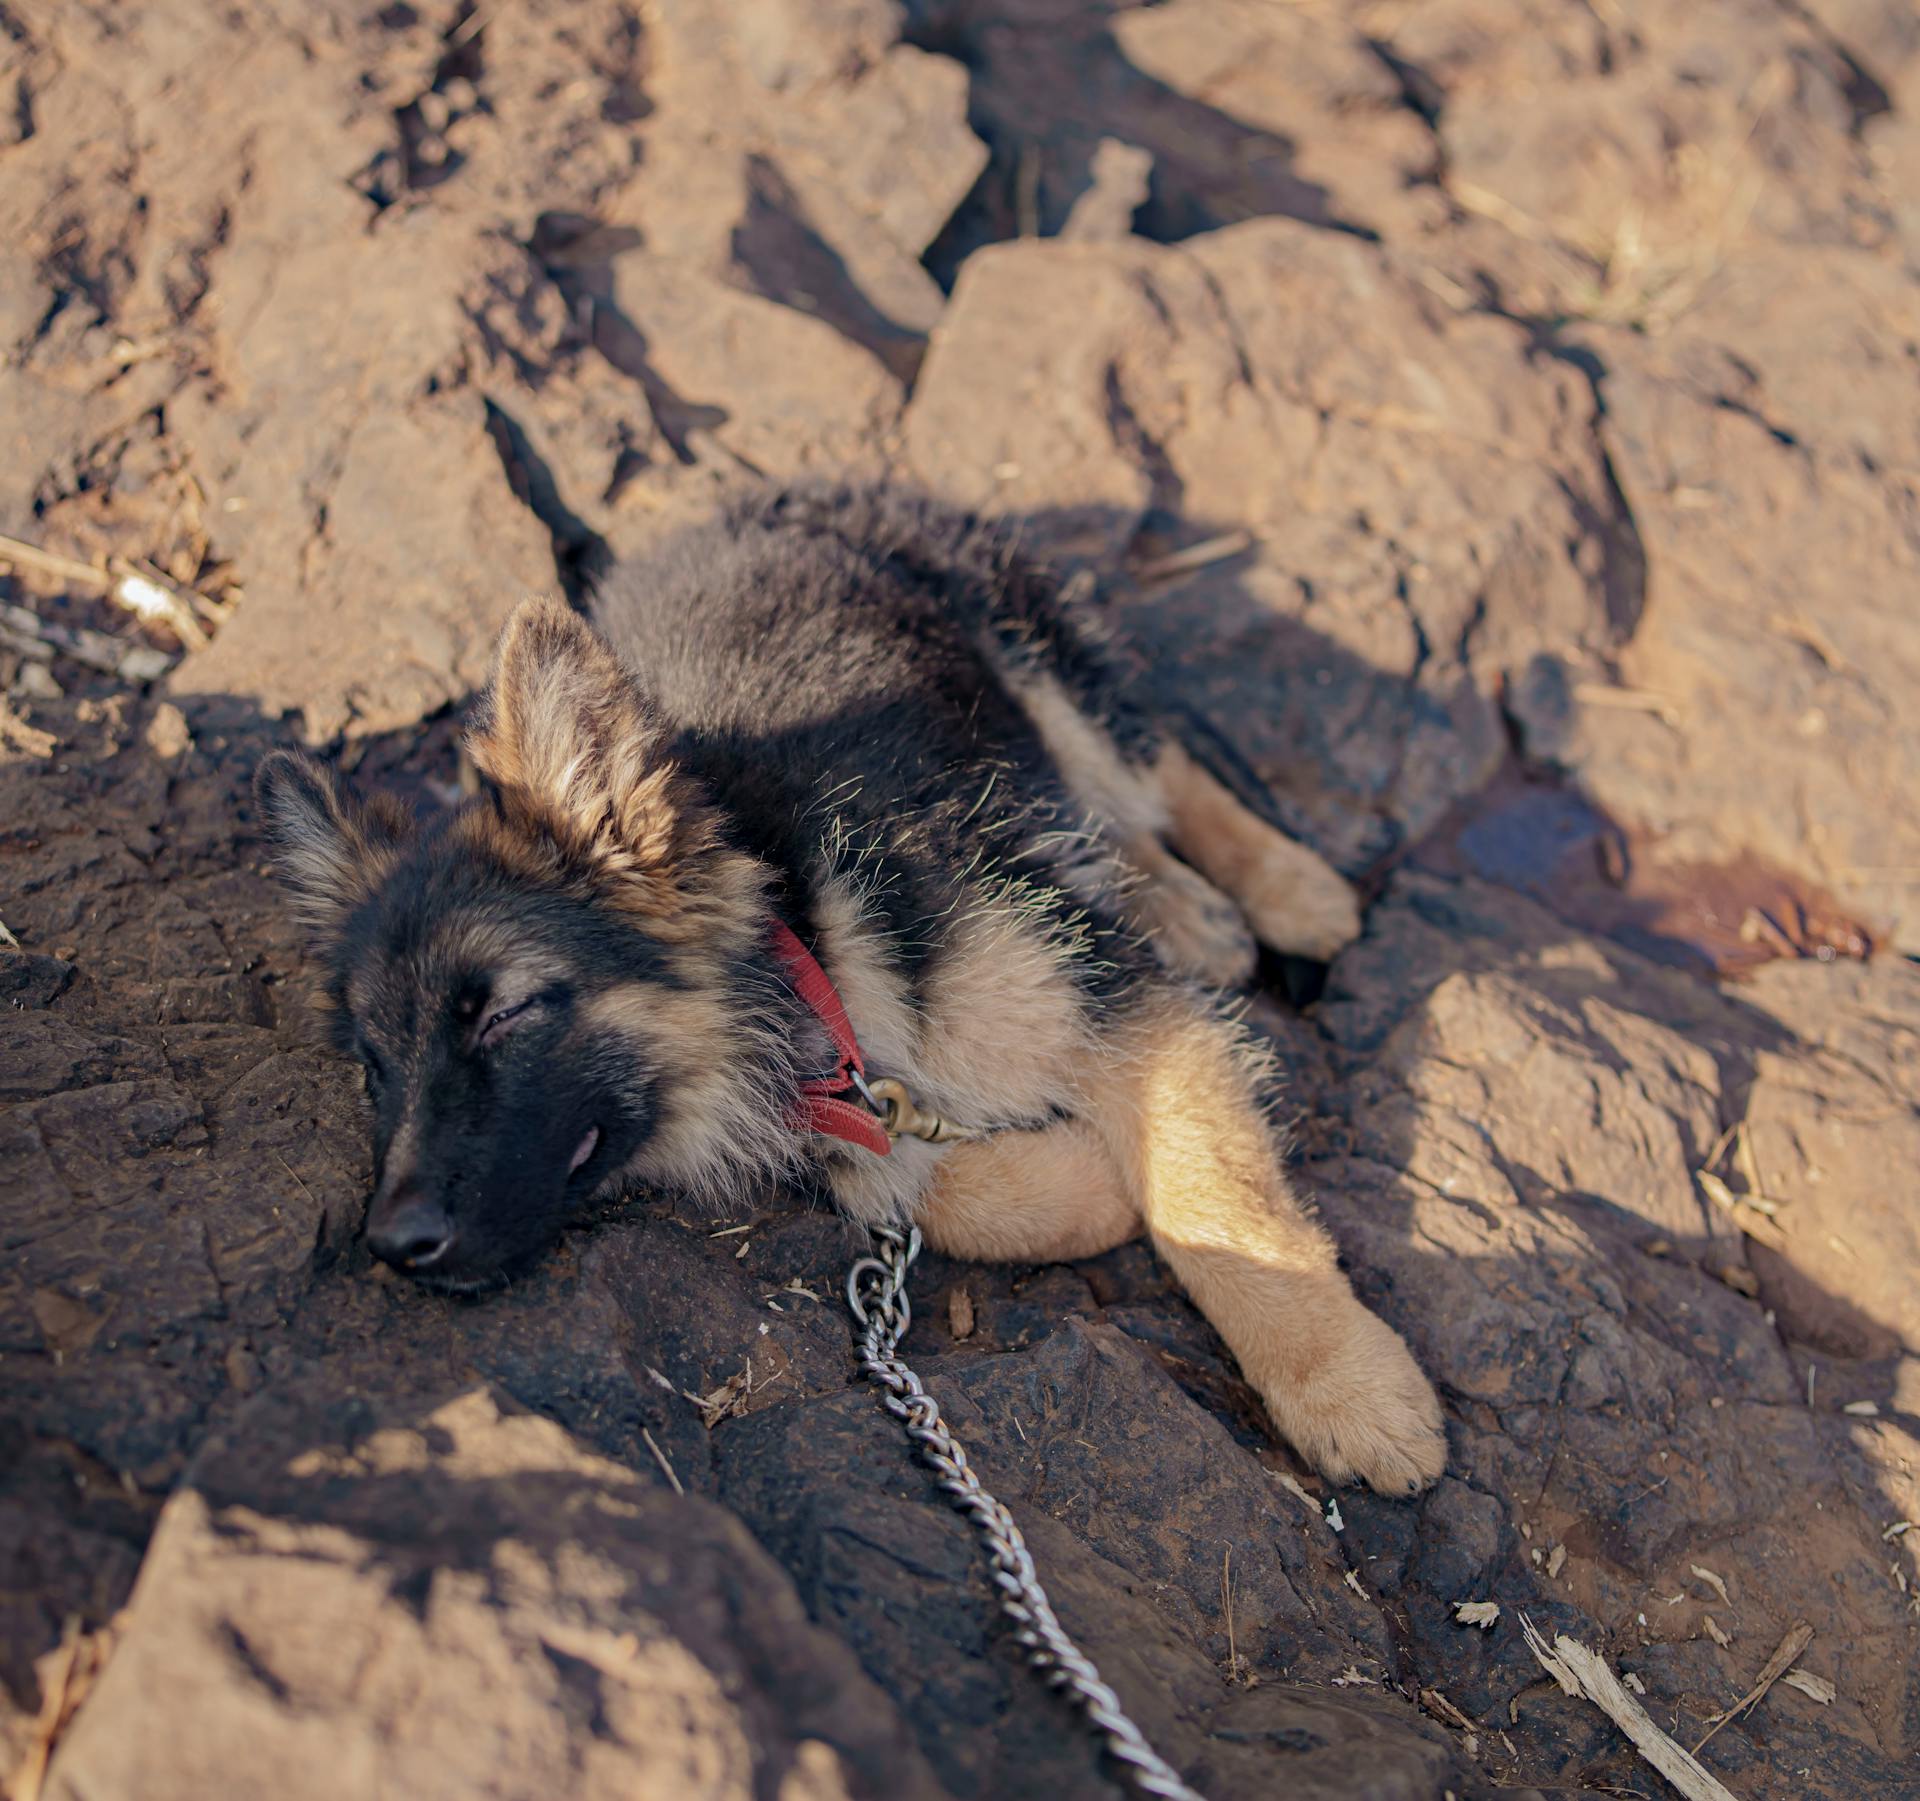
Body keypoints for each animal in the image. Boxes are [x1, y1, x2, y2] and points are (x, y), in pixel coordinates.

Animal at [263, 483, 1443, 1497]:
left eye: (507, 1011)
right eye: (373, 1067)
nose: (392, 1244)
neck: (808, 945)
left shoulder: (1116, 1008)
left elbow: (1218, 1200)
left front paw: (1348, 1390)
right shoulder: (860, 1112)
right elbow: (907, 1182)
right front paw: (1079, 1182)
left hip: (1030, 655)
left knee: (1148, 760)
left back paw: (1284, 890)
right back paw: (1179, 905)